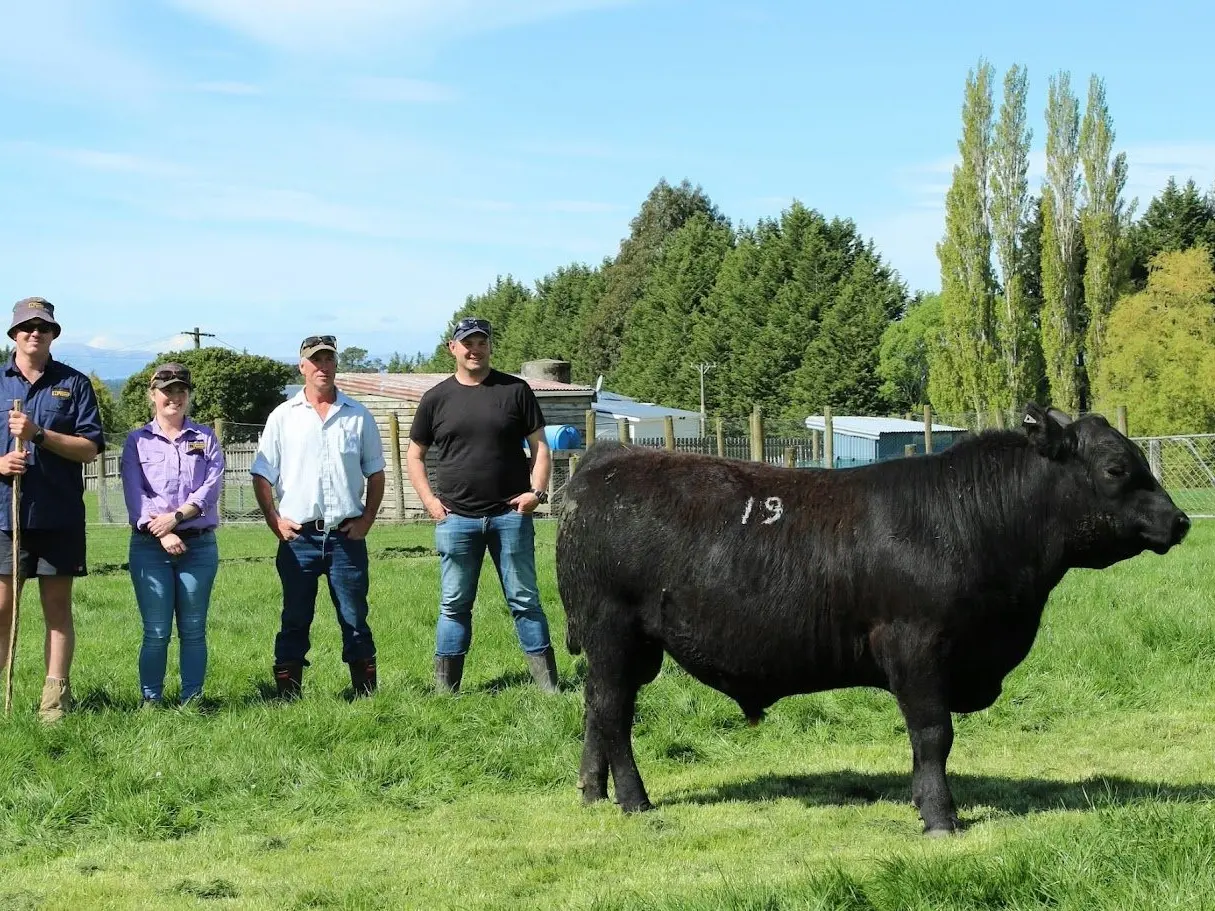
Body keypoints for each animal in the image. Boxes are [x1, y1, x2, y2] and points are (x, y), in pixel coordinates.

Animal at [554, 403, 1191, 835]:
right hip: (613, 632)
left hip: (628, 647)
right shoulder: (916, 646)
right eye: (1116, 468)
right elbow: (933, 734)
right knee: (613, 713)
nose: (1182, 520)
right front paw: (940, 817)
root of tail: (606, 461)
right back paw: (634, 800)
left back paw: (591, 791)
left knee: (596, 709)